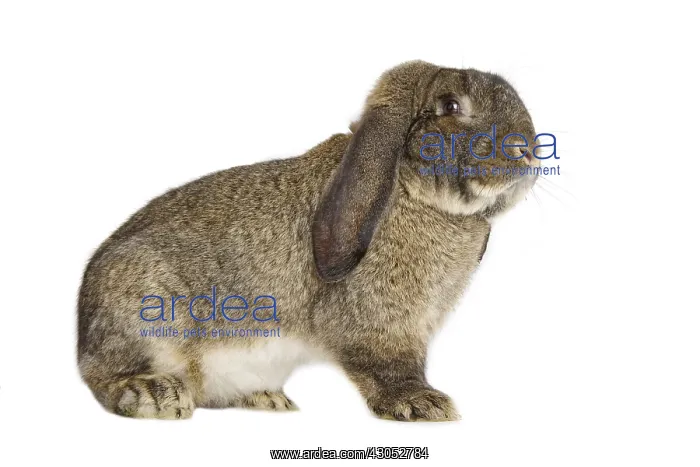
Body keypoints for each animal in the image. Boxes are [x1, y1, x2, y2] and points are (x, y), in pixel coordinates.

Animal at [77, 60, 541, 421]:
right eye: (450, 106)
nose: (528, 151)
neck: (412, 192)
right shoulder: (379, 327)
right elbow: (387, 367)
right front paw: (423, 404)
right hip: (146, 309)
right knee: (102, 377)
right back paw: (156, 395)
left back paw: (266, 399)